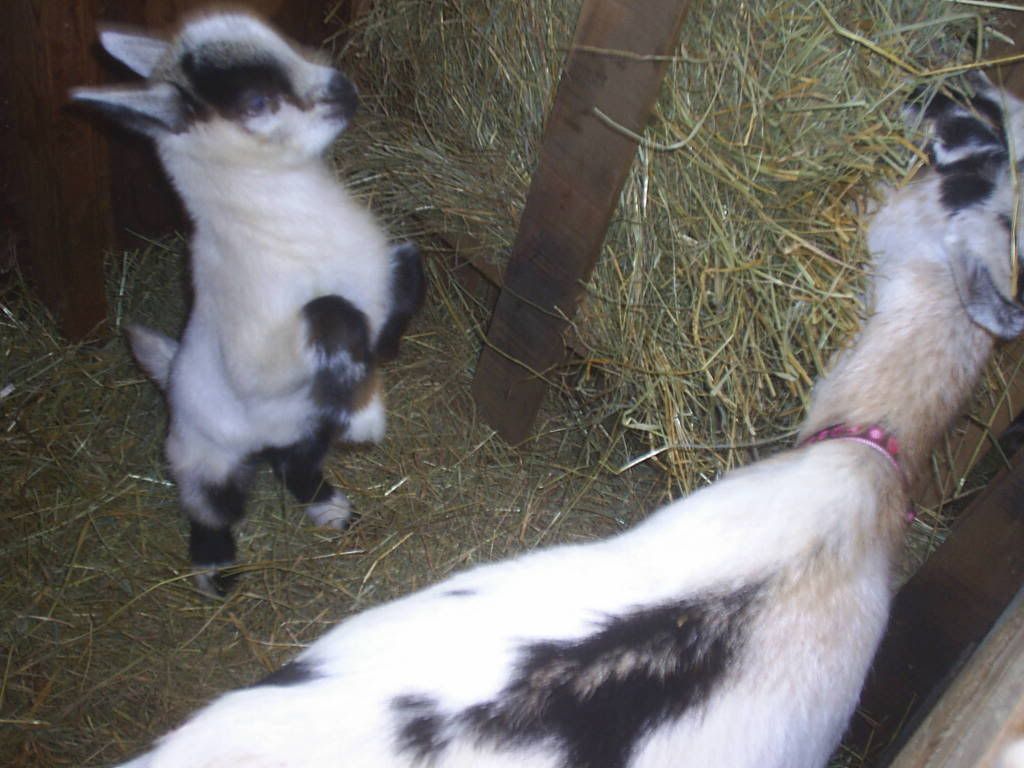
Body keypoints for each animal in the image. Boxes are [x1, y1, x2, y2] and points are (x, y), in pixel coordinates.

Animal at [70, 11, 425, 595]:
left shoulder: (379, 276)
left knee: (291, 467)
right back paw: (214, 570)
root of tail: (171, 379)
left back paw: (329, 508)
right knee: (209, 509)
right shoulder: (256, 358)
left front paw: (374, 366)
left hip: (304, 431)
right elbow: (331, 308)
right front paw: (364, 416)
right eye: (257, 102)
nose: (344, 88)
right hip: (204, 461)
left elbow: (410, 266)